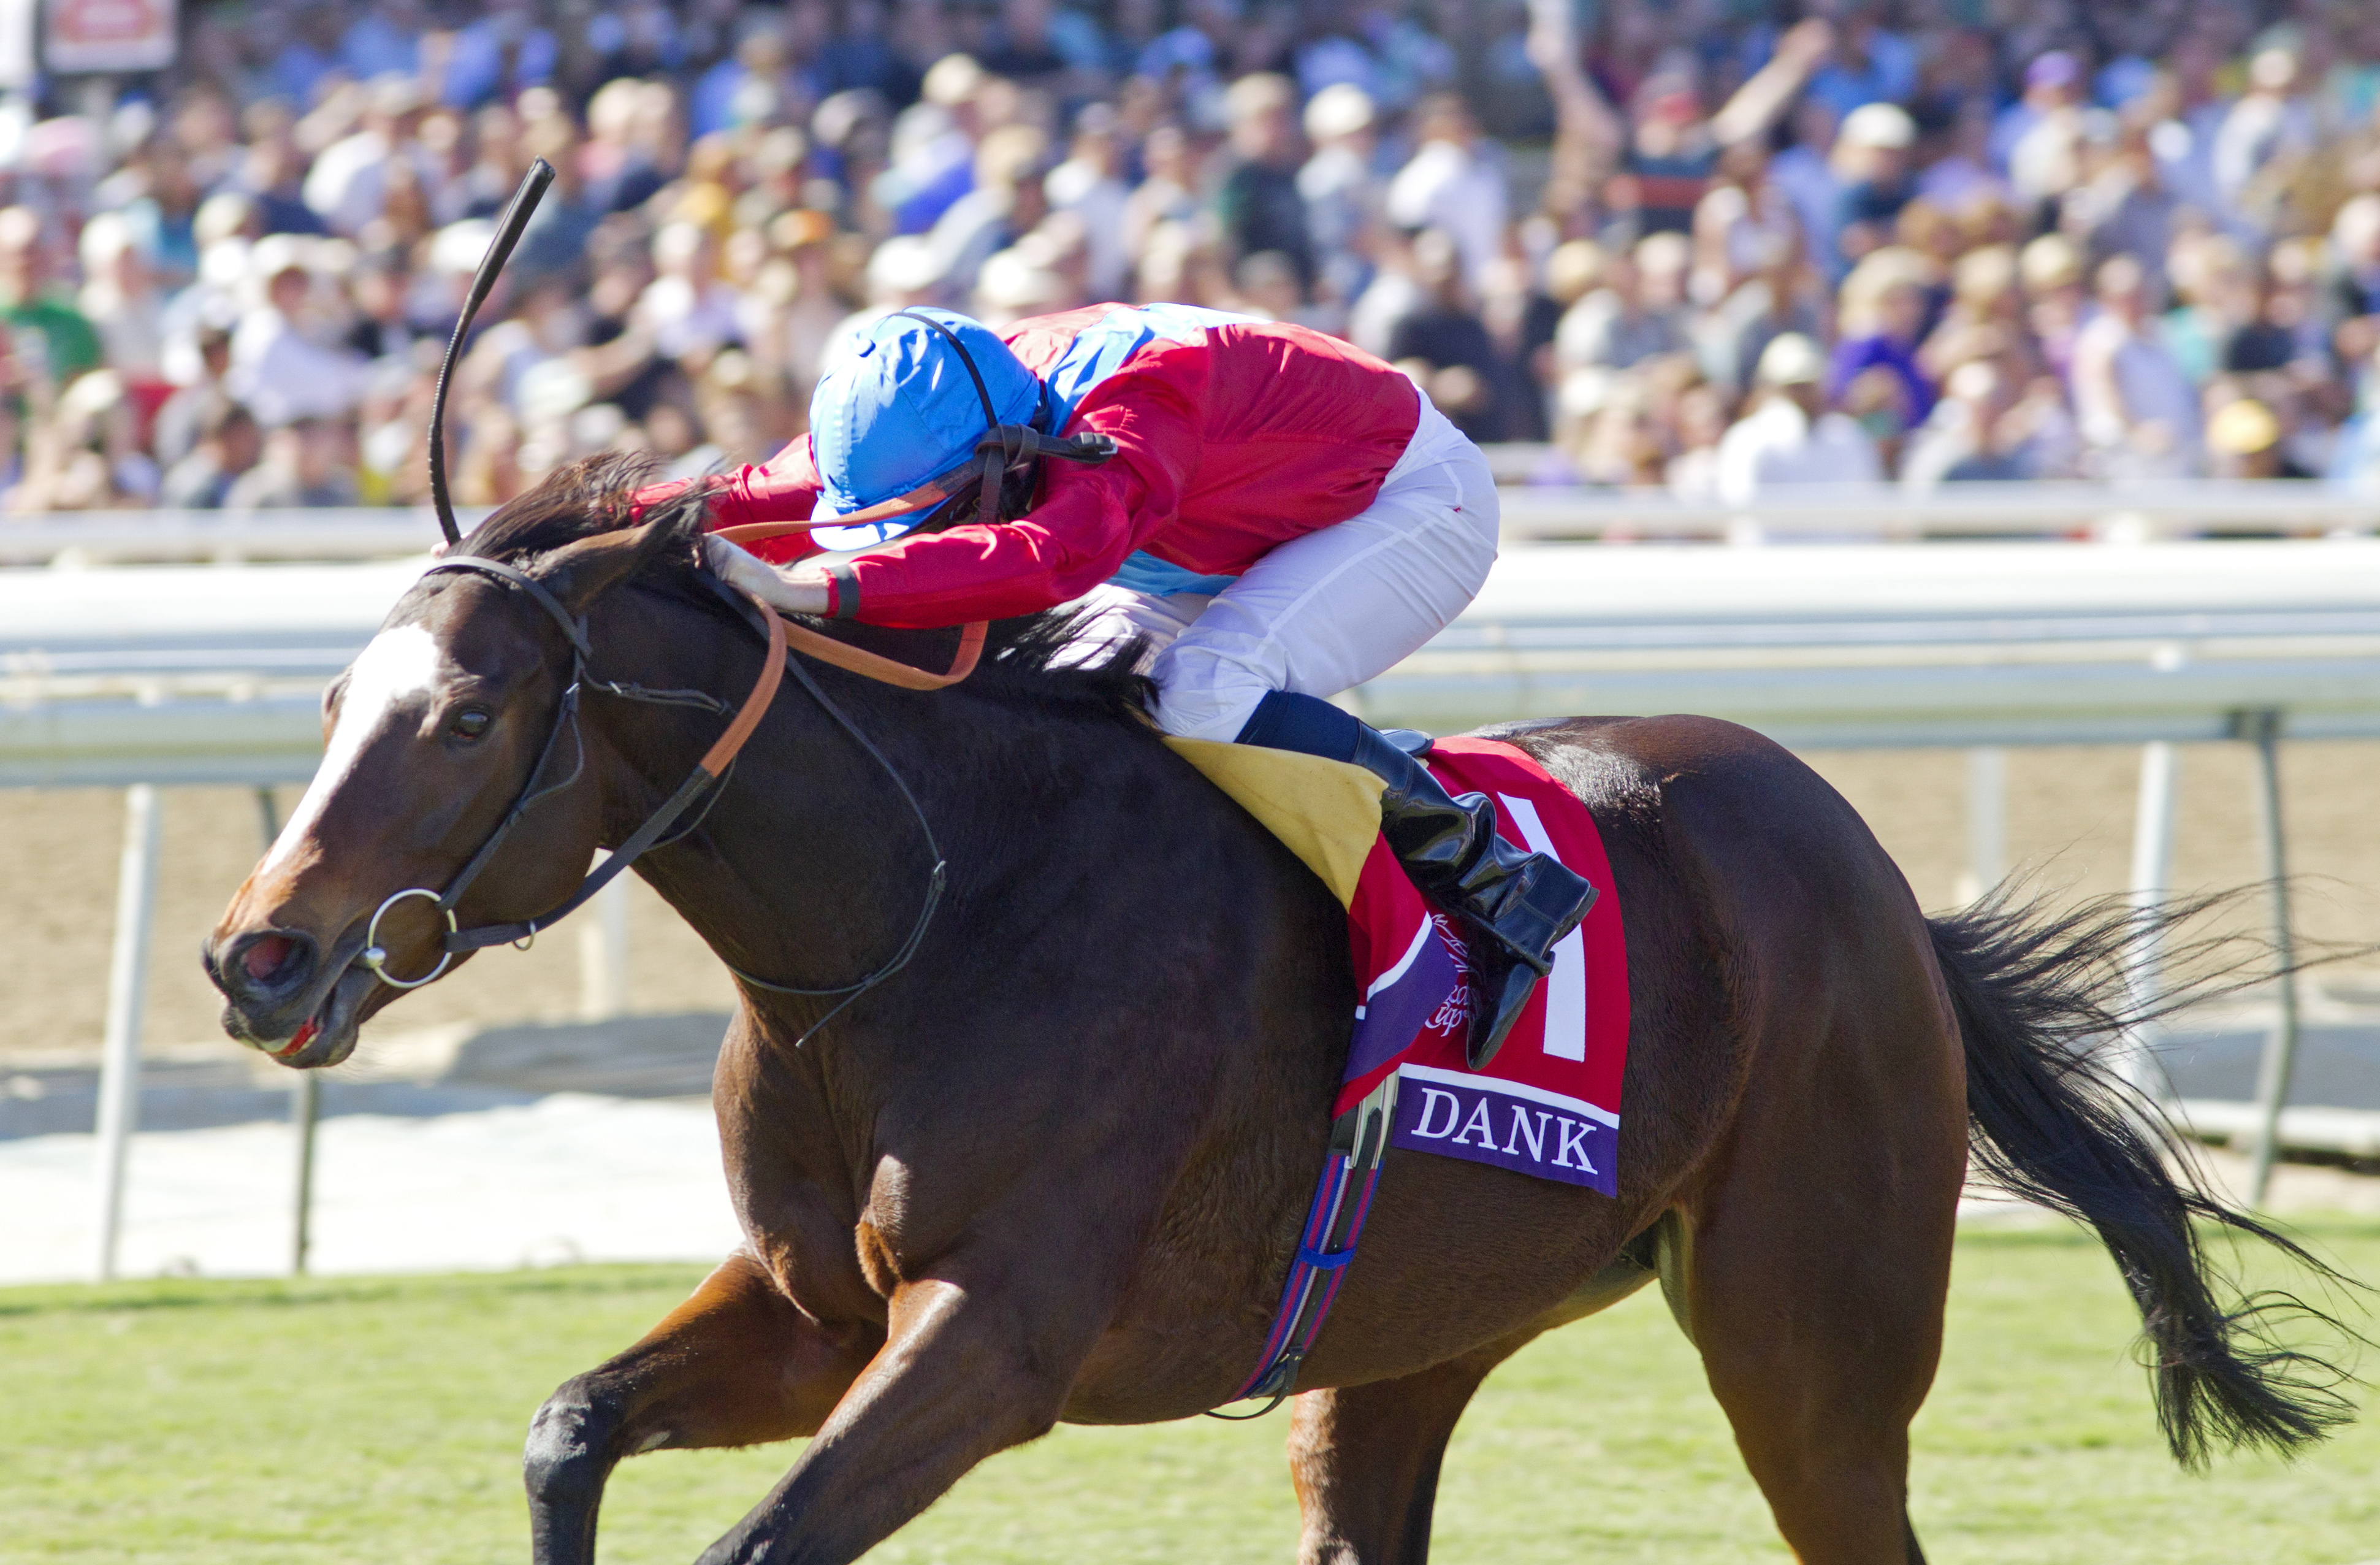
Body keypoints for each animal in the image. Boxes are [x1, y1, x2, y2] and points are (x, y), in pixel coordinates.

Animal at [204, 456, 2354, 1565]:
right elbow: (569, 1427)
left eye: (465, 715)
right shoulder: (820, 1315)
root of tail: (1877, 886)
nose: (257, 955)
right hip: (1407, 1336)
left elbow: (761, 1539)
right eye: (329, 701)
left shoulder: (1000, 1330)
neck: (916, 921)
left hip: (1811, 1343)